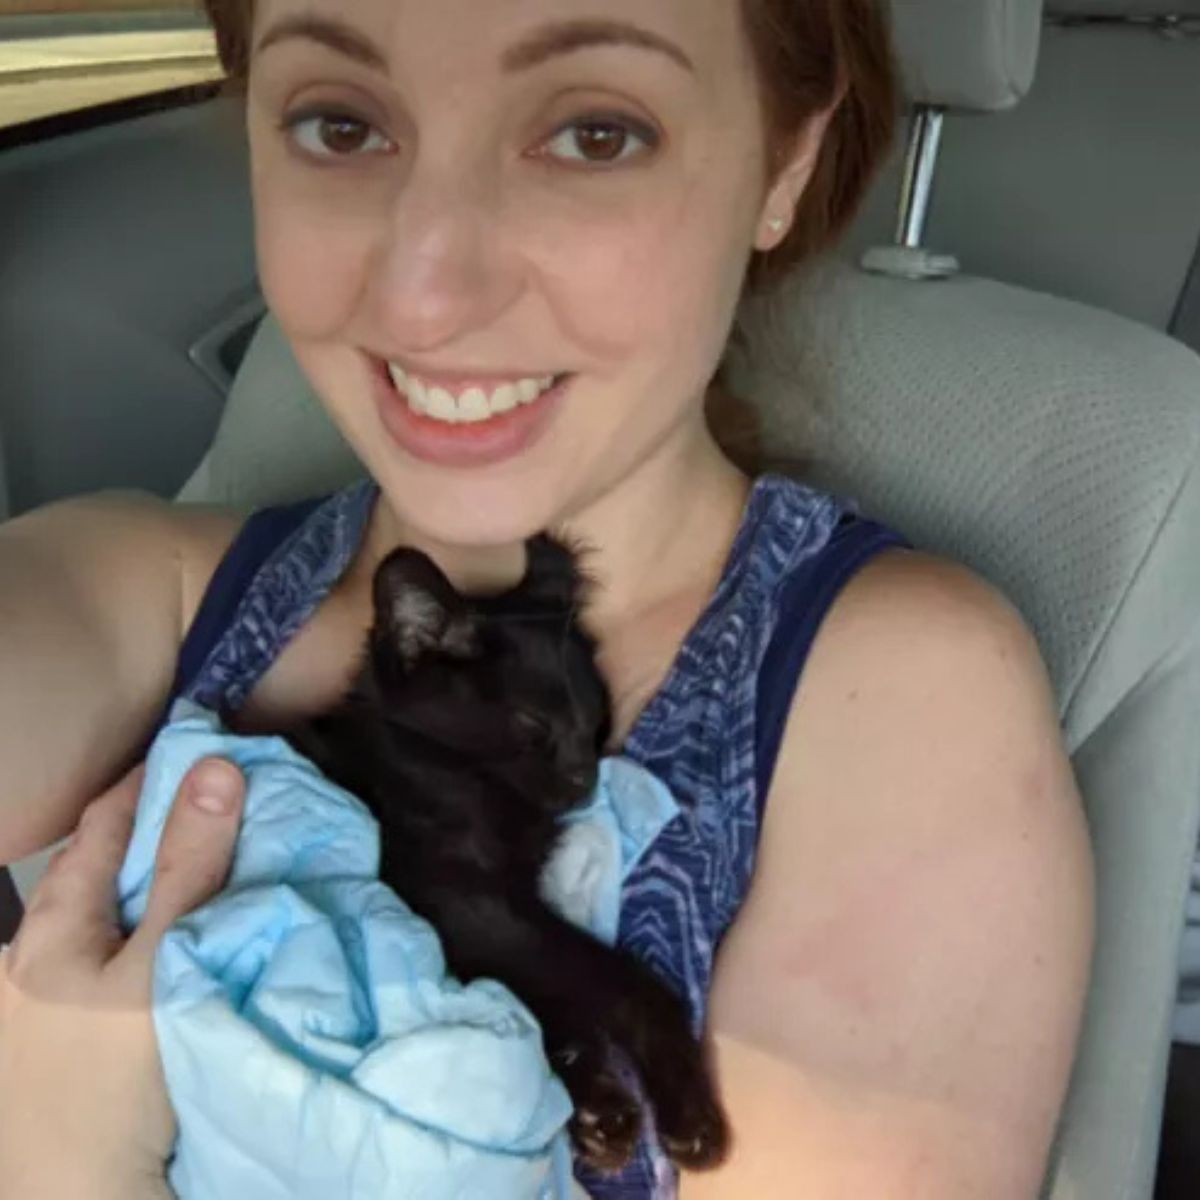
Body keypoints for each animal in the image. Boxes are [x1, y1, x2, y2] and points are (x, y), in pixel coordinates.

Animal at [283, 535, 729, 1171]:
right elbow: (619, 980)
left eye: (596, 718)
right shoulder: (471, 905)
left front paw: (595, 1108)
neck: (436, 761)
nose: (585, 778)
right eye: (532, 722)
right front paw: (681, 1113)